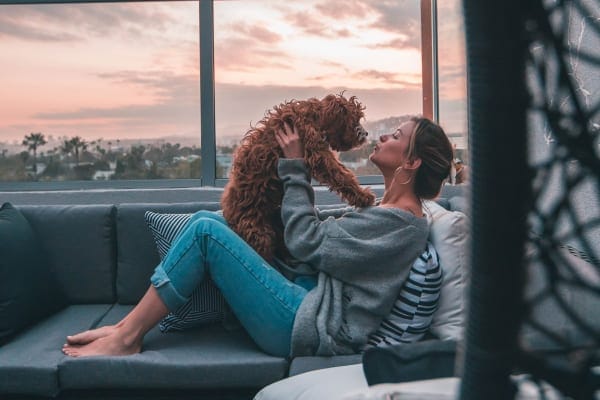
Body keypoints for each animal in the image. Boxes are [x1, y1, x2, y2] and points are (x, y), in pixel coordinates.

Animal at [220, 93, 372, 262]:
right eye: (354, 119)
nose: (365, 134)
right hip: (257, 231)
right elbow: (340, 174)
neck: (314, 118)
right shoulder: (318, 154)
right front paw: (363, 196)